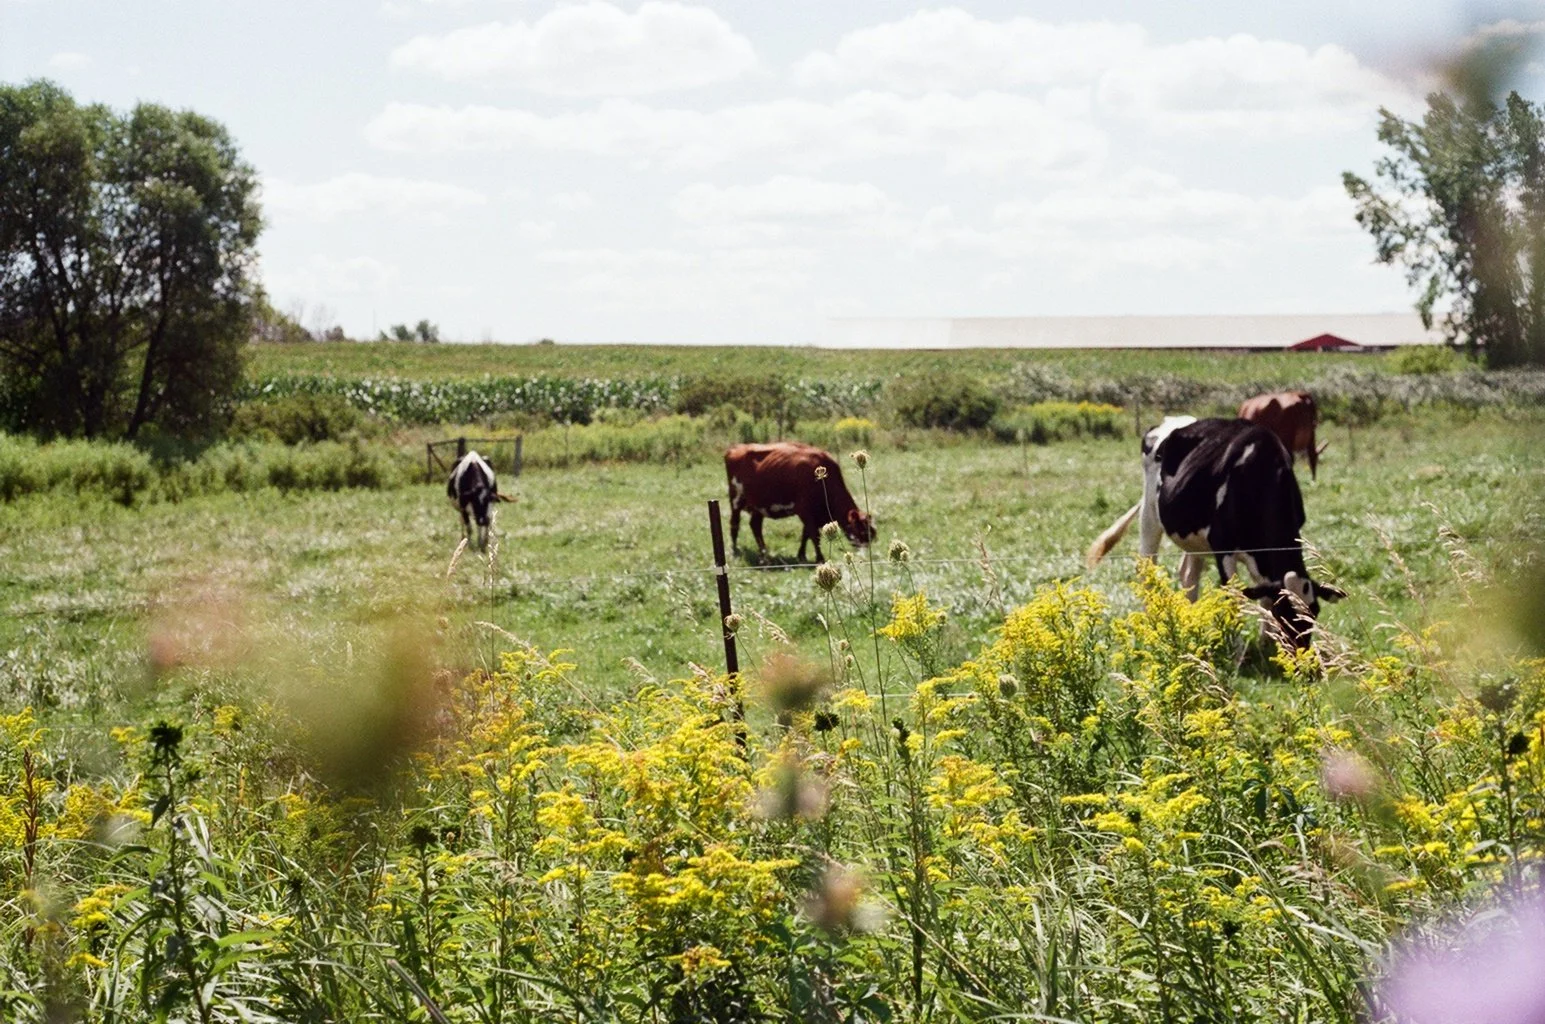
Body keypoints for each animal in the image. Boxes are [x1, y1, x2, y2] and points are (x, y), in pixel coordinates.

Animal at [725, 442, 876, 563]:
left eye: (872, 533)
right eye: (862, 531)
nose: (866, 555)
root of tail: (735, 447)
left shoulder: (814, 514)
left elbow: (805, 535)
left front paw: (801, 555)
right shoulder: (804, 510)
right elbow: (814, 535)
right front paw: (820, 558)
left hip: (759, 505)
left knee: (755, 525)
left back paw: (764, 553)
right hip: (736, 499)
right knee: (734, 524)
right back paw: (735, 550)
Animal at [1086, 416, 1345, 650]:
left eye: (1314, 613)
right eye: (1283, 614)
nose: (1302, 658)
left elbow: (1263, 595)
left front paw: (1266, 643)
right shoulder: (1223, 547)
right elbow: (1234, 597)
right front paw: (1237, 650)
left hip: (1193, 539)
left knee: (1188, 575)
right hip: (1150, 514)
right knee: (1146, 569)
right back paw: (1152, 622)